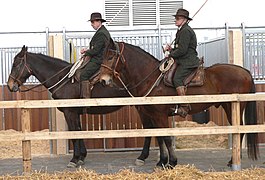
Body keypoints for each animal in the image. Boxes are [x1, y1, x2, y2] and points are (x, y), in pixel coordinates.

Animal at [6, 45, 165, 167]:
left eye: (15, 64)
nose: (10, 85)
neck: (63, 79)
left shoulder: (69, 112)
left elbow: (74, 134)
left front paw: (74, 159)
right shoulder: (75, 113)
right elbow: (79, 131)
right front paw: (82, 156)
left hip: (142, 108)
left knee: (150, 129)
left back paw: (143, 157)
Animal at [98, 40, 258, 167]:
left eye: (111, 57)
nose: (103, 80)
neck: (151, 78)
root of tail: (246, 72)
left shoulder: (160, 115)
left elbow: (167, 138)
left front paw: (172, 162)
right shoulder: (153, 115)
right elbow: (159, 137)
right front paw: (162, 161)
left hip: (233, 107)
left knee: (240, 129)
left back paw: (233, 160)